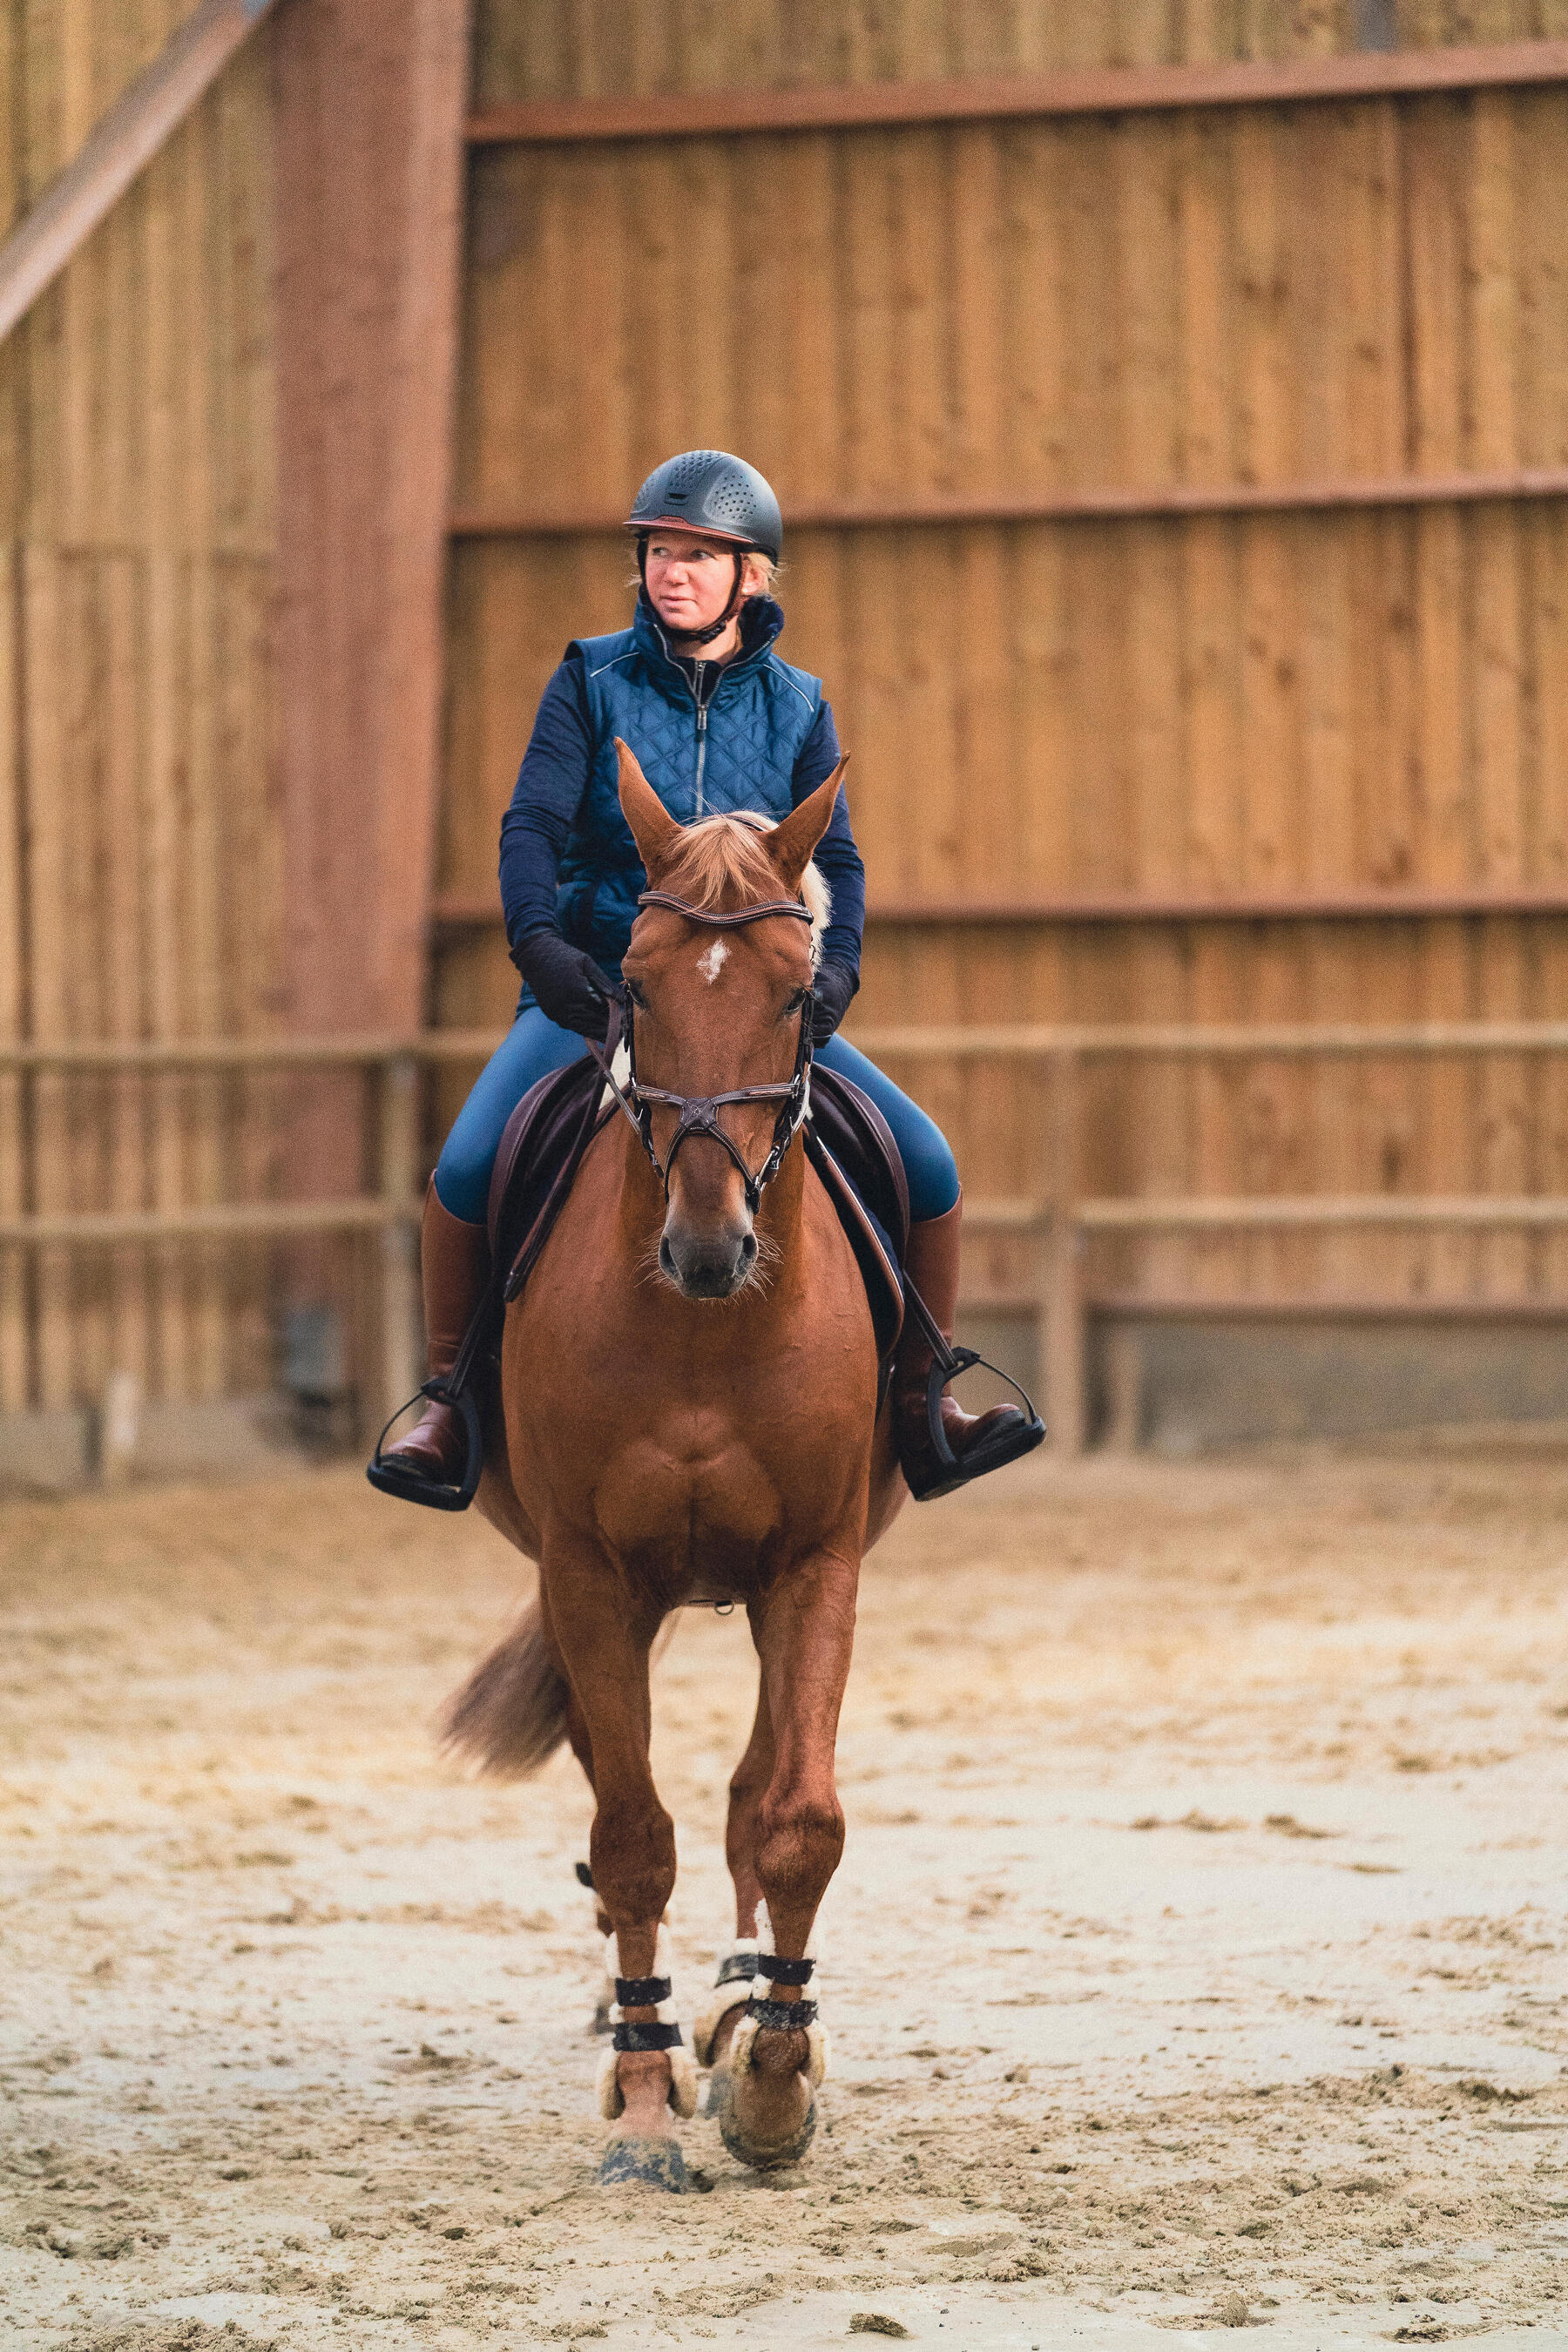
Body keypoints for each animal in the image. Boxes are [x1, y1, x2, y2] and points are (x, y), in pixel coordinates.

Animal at [442, 747, 907, 2182]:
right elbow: (632, 1838)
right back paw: (636, 2026)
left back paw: (739, 2002)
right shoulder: (590, 1577)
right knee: (617, 1798)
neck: (705, 1328)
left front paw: (772, 2076)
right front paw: (646, 2100)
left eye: (800, 992)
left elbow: (797, 1818)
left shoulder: (814, 1563)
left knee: (753, 1788)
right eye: (634, 983)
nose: (710, 1246)